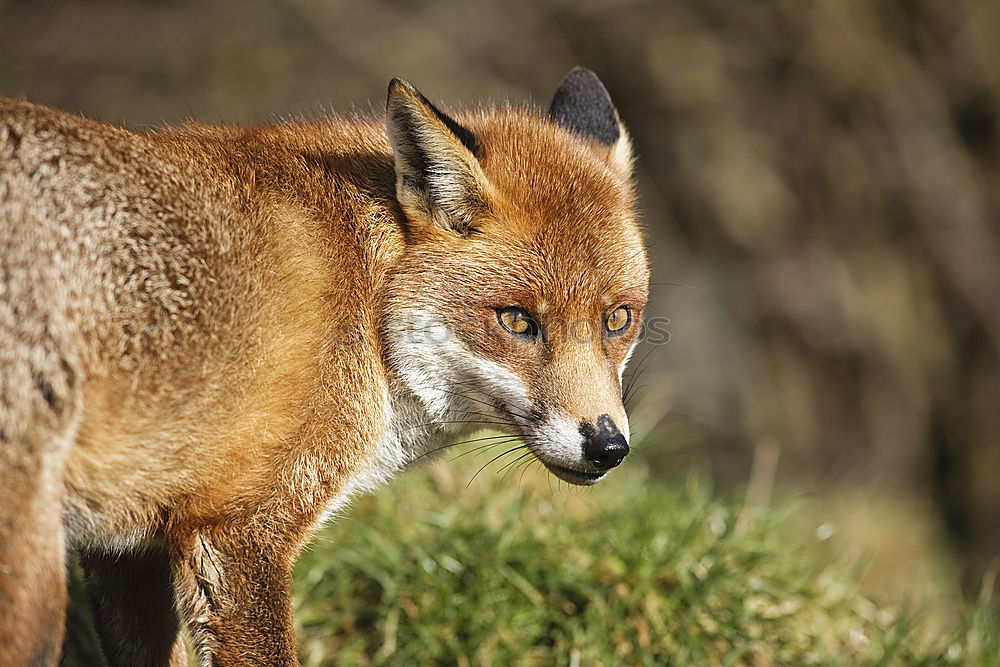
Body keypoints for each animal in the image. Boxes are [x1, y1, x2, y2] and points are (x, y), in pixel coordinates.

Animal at [0, 69, 648, 667]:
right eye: (516, 320)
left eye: (618, 319)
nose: (608, 447)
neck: (369, 301)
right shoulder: (237, 533)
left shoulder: (124, 546)